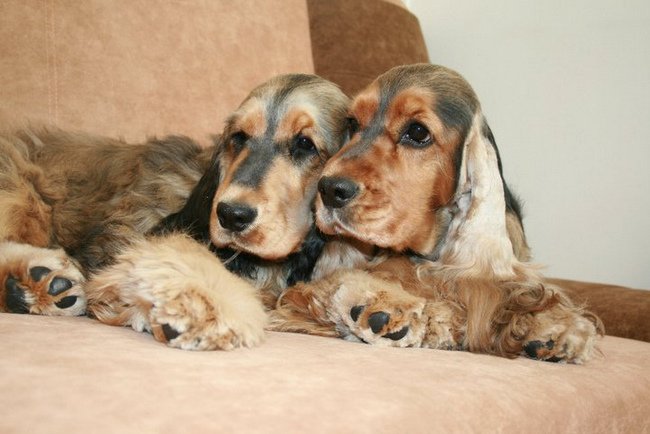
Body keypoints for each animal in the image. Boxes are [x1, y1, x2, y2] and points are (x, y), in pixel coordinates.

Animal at [0, 74, 364, 349]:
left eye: (305, 144)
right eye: (239, 137)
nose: (231, 215)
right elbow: (180, 253)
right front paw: (206, 307)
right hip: (19, 193)